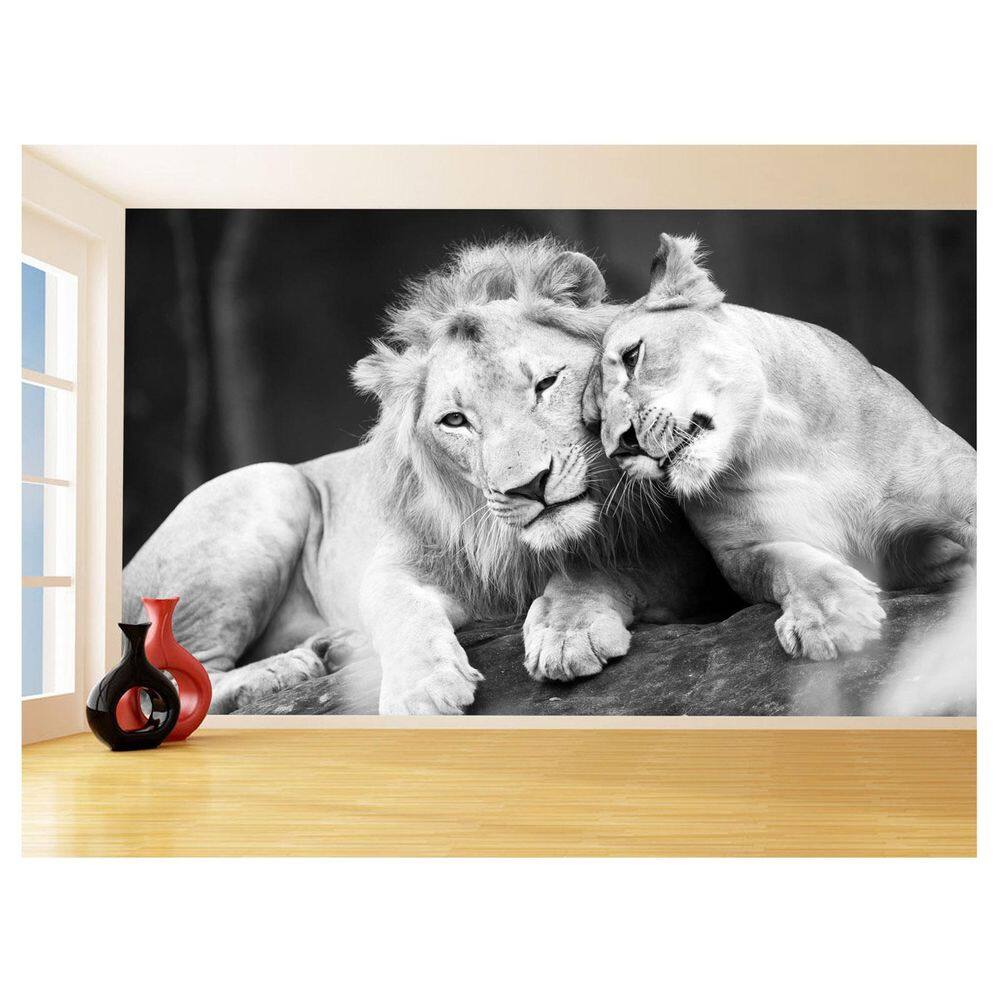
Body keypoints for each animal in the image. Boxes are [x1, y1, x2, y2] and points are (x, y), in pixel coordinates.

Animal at [123, 237, 726, 714]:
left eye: (546, 383)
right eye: (455, 420)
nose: (528, 486)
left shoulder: (682, 553)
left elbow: (602, 566)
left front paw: (567, 630)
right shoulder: (402, 562)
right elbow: (400, 610)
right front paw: (422, 689)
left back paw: (331, 648)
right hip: (269, 486)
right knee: (182, 668)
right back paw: (283, 670)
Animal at [589, 232, 976, 661]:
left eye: (632, 356)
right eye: (593, 420)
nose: (621, 448)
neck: (780, 443)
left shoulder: (960, 490)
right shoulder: (746, 549)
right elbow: (793, 564)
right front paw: (830, 617)